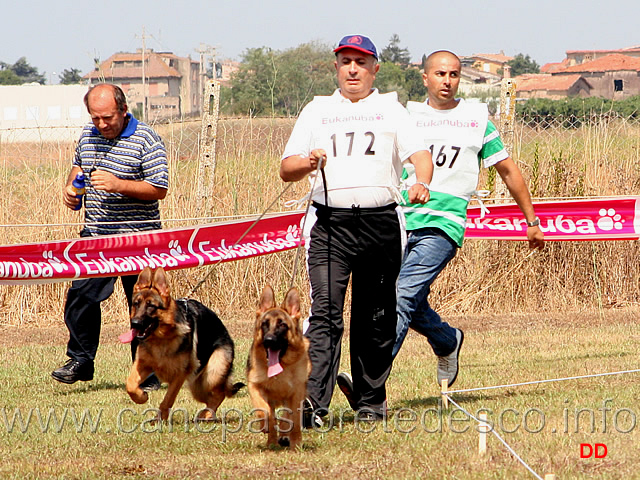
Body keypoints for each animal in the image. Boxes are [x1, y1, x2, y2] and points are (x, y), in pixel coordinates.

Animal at [120, 266, 242, 420]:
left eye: (151, 306)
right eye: (136, 304)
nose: (134, 323)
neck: (161, 338)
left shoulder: (179, 375)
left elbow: (168, 399)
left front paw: (159, 419)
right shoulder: (143, 364)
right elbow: (130, 385)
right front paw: (141, 397)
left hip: (211, 376)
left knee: (220, 393)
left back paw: (207, 414)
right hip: (197, 386)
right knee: (212, 396)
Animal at [246, 284, 312, 450]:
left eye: (282, 325)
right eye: (265, 324)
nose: (269, 340)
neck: (281, 365)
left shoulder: (297, 392)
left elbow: (293, 418)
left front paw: (295, 444)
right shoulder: (254, 386)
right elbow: (264, 409)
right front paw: (265, 425)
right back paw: (272, 441)